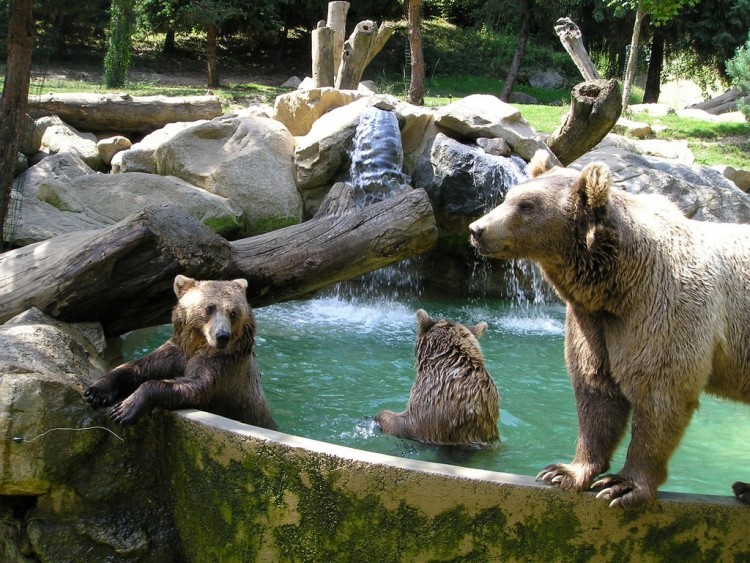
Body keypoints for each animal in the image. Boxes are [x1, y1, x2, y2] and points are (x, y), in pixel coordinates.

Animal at [85, 276, 278, 430]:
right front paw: (96, 391)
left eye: (233, 312)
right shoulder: (176, 352)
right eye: (210, 308)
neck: (198, 343)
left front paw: (124, 409)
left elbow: (197, 386)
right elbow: (139, 367)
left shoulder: (222, 365)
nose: (222, 336)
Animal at [470, 152, 750, 508]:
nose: (477, 229)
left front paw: (624, 485)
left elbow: (659, 393)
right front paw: (563, 471)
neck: (617, 282)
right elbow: (597, 388)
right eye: (509, 197)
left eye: (527, 205)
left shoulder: (664, 309)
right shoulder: (594, 321)